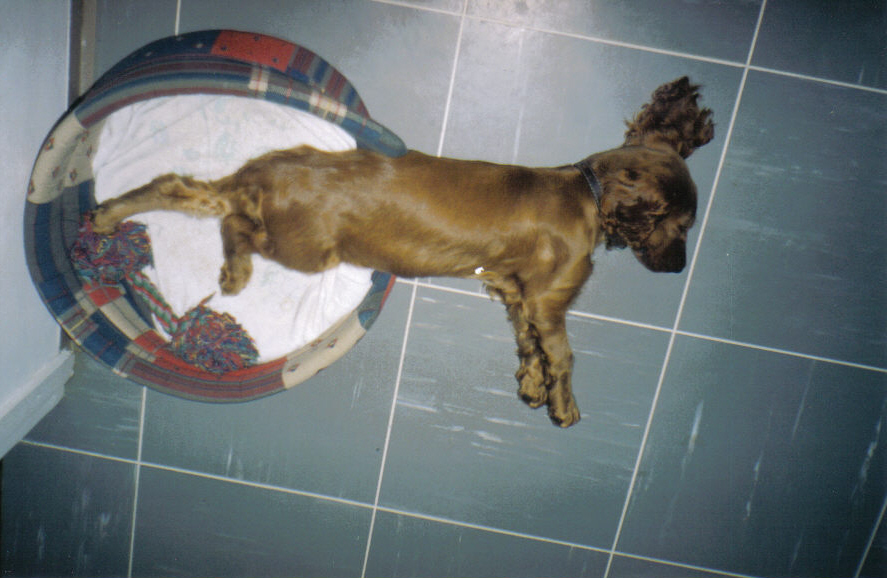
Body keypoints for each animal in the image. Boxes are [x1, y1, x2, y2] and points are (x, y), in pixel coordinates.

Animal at [92, 76, 713, 427]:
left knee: (178, 187)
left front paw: (532, 387)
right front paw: (563, 403)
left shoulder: (517, 293)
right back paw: (235, 269)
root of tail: (263, 176)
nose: (681, 267)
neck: (585, 187)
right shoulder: (548, 298)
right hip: (301, 246)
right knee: (232, 225)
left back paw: (106, 215)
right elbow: (562, 353)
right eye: (681, 226)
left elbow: (526, 344)